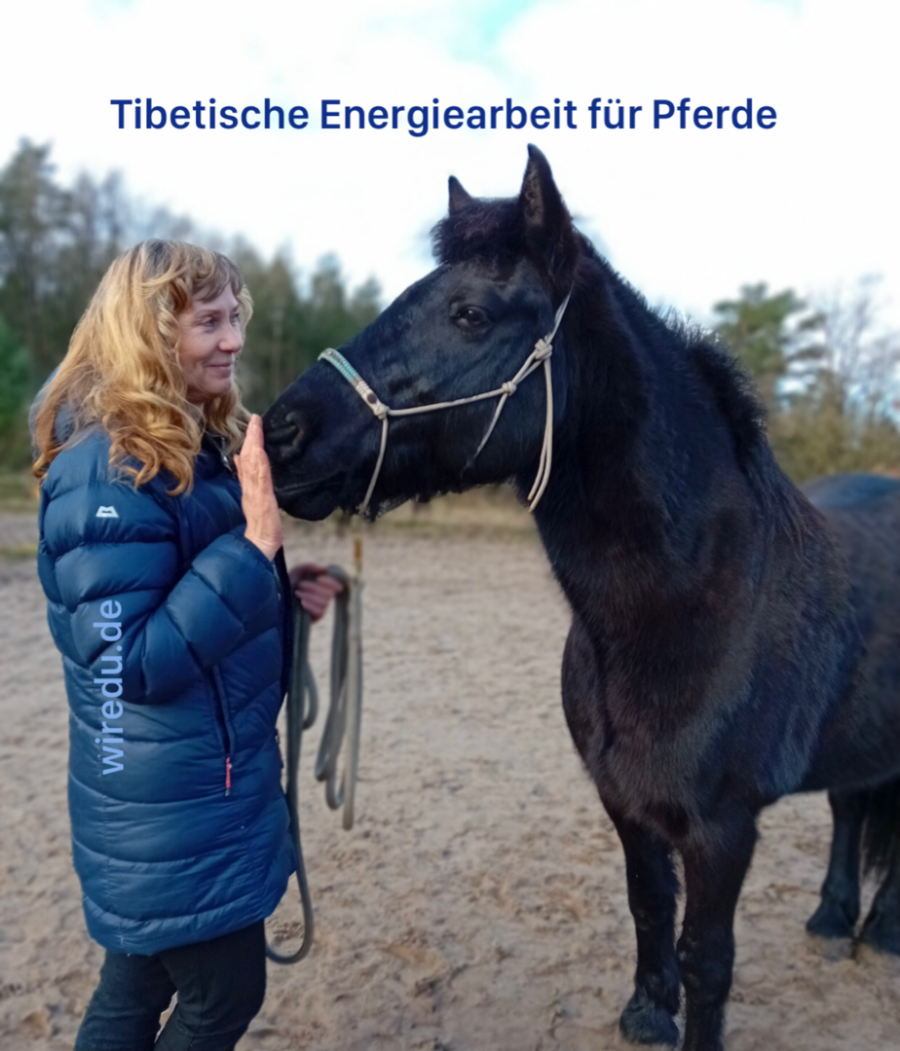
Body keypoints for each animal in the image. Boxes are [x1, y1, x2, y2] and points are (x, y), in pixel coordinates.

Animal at [263, 146, 900, 1051]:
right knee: (852, 804)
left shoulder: (723, 828)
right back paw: (834, 920)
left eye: (469, 313)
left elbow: (709, 957)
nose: (280, 431)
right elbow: (648, 906)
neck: (693, 609)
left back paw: (881, 930)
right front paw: (646, 1013)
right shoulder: (625, 800)